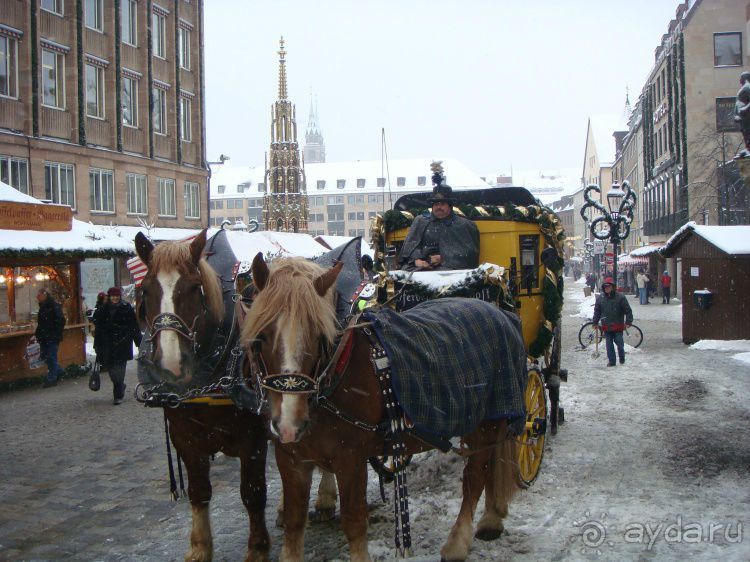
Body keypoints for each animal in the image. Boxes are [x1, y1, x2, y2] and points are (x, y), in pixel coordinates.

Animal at [242, 254, 524, 560]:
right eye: (261, 337)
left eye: (320, 337)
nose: (289, 425)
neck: (337, 374)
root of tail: (501, 313)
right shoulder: (292, 460)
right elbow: (294, 524)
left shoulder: (350, 459)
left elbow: (354, 522)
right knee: (493, 462)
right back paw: (492, 517)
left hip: (487, 422)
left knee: (475, 477)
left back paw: (458, 541)